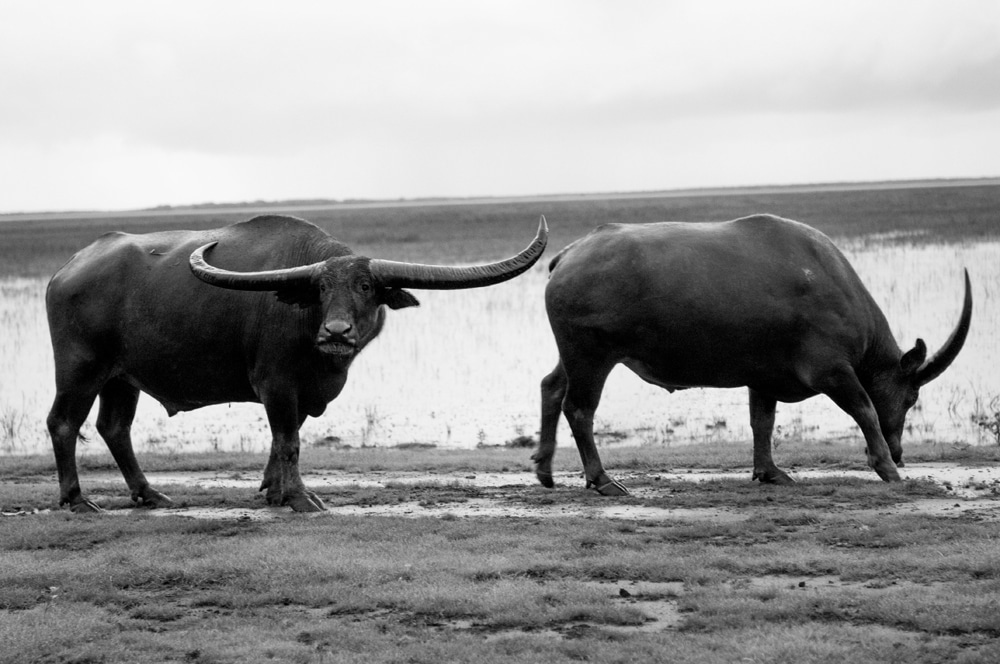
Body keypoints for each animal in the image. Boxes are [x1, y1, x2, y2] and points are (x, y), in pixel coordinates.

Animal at [47, 214, 548, 512]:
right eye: (321, 288)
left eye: (366, 285)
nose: (336, 333)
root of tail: (65, 270)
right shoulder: (277, 385)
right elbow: (288, 441)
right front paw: (302, 499)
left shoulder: (303, 393)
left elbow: (279, 442)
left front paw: (274, 492)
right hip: (80, 370)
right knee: (63, 423)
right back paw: (76, 499)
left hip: (121, 378)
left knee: (115, 427)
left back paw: (149, 493)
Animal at [536, 215, 972, 496]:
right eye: (911, 396)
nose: (899, 451)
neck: (831, 283)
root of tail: (569, 255)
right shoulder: (833, 372)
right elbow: (865, 410)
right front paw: (885, 467)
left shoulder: (763, 377)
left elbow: (762, 422)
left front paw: (770, 472)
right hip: (592, 357)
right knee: (579, 409)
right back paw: (602, 480)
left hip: (572, 356)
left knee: (551, 388)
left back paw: (544, 469)